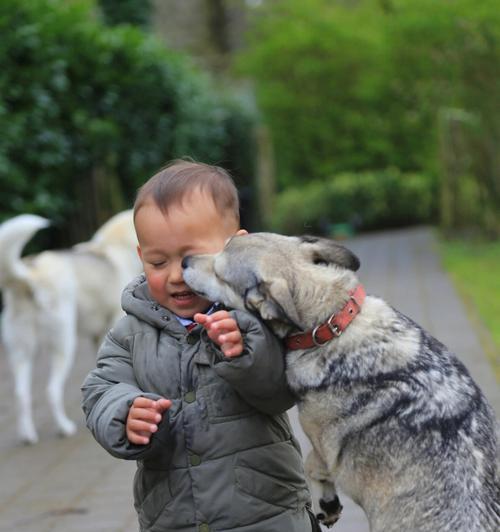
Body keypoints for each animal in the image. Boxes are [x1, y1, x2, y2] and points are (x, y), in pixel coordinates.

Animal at [0, 210, 141, 442]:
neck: (116, 246)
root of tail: (31, 273)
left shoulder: (100, 338)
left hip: (22, 352)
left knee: (21, 394)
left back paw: (28, 434)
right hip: (64, 343)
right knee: (51, 390)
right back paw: (64, 427)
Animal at [184, 233, 500, 532]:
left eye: (219, 273)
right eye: (223, 244)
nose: (185, 260)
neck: (331, 324)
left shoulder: (321, 442)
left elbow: (311, 466)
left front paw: (326, 503)